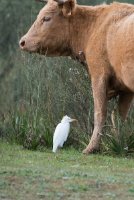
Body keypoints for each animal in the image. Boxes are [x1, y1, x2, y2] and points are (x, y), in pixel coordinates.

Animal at [19, 0, 134, 154]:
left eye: (46, 18)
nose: (23, 42)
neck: (94, 27)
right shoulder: (126, 89)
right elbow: (119, 116)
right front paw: (121, 144)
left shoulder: (98, 75)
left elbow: (100, 113)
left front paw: (91, 147)